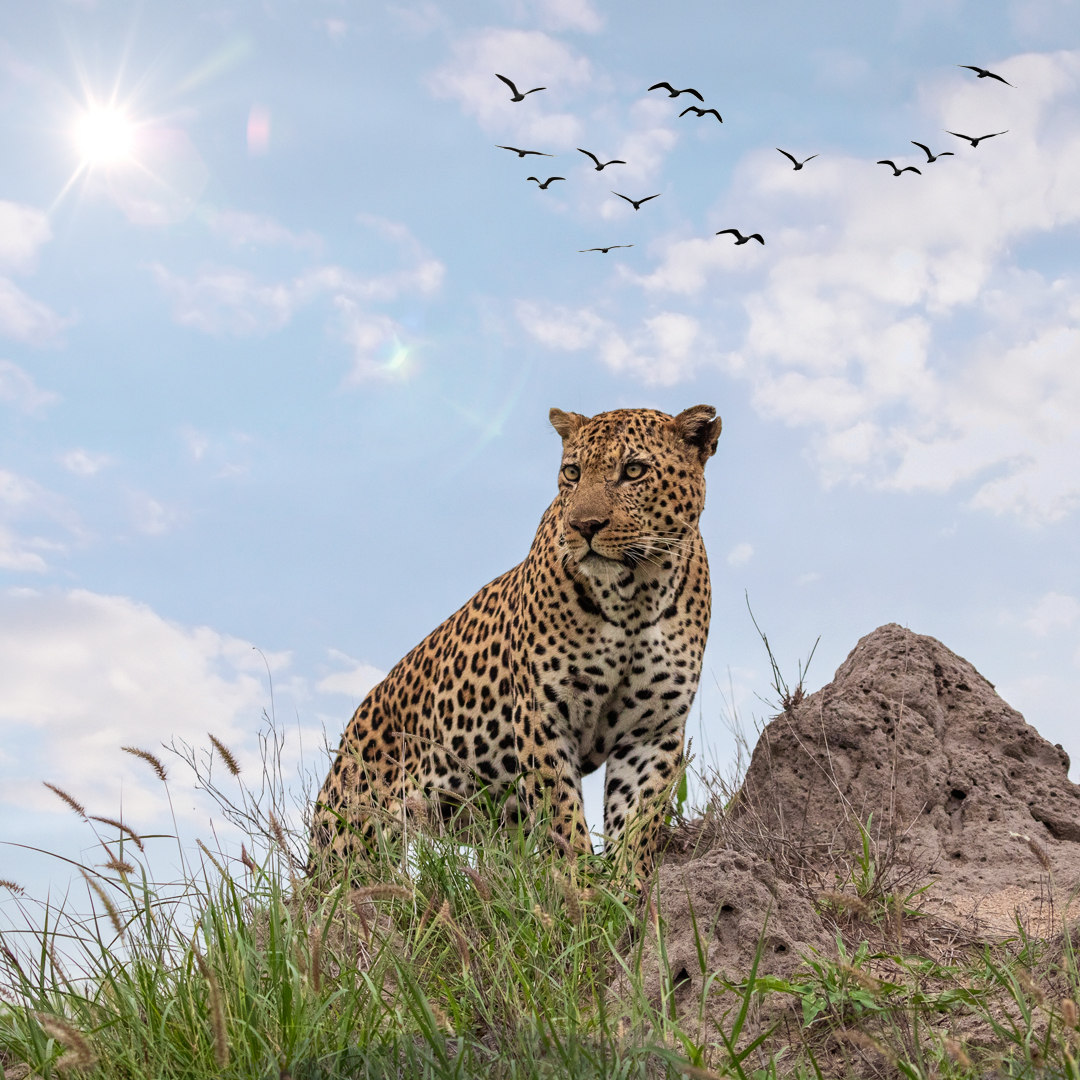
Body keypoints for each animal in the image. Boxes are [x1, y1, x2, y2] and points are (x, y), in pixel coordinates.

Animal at [309, 403, 722, 884]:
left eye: (634, 470)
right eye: (572, 473)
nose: (583, 526)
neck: (634, 595)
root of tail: (351, 733)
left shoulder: (653, 730)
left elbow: (638, 821)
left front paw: (627, 887)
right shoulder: (544, 714)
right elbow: (562, 812)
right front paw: (579, 884)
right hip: (352, 841)